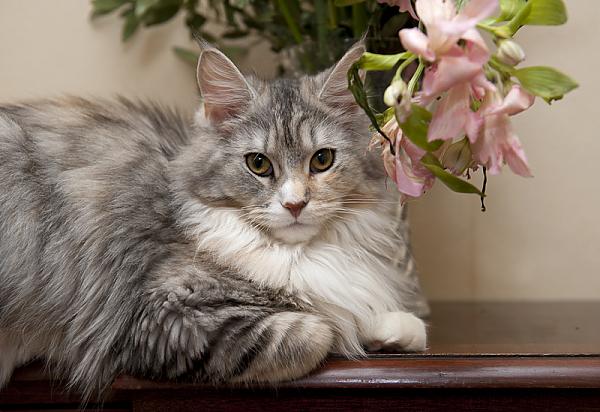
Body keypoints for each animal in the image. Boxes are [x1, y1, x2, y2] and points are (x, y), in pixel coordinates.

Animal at [0, 41, 426, 400]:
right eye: (259, 164)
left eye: (322, 160)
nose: (295, 204)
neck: (297, 253)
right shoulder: (161, 314)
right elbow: (320, 329)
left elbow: (369, 312)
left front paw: (397, 331)